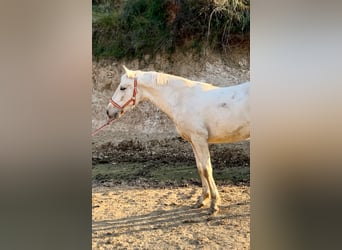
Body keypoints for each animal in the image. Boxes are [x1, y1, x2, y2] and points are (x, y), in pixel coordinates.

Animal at [105, 65, 250, 214]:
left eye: (123, 88)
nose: (109, 111)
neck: (182, 99)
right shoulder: (193, 142)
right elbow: (200, 168)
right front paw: (202, 199)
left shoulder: (200, 139)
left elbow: (206, 169)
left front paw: (214, 203)